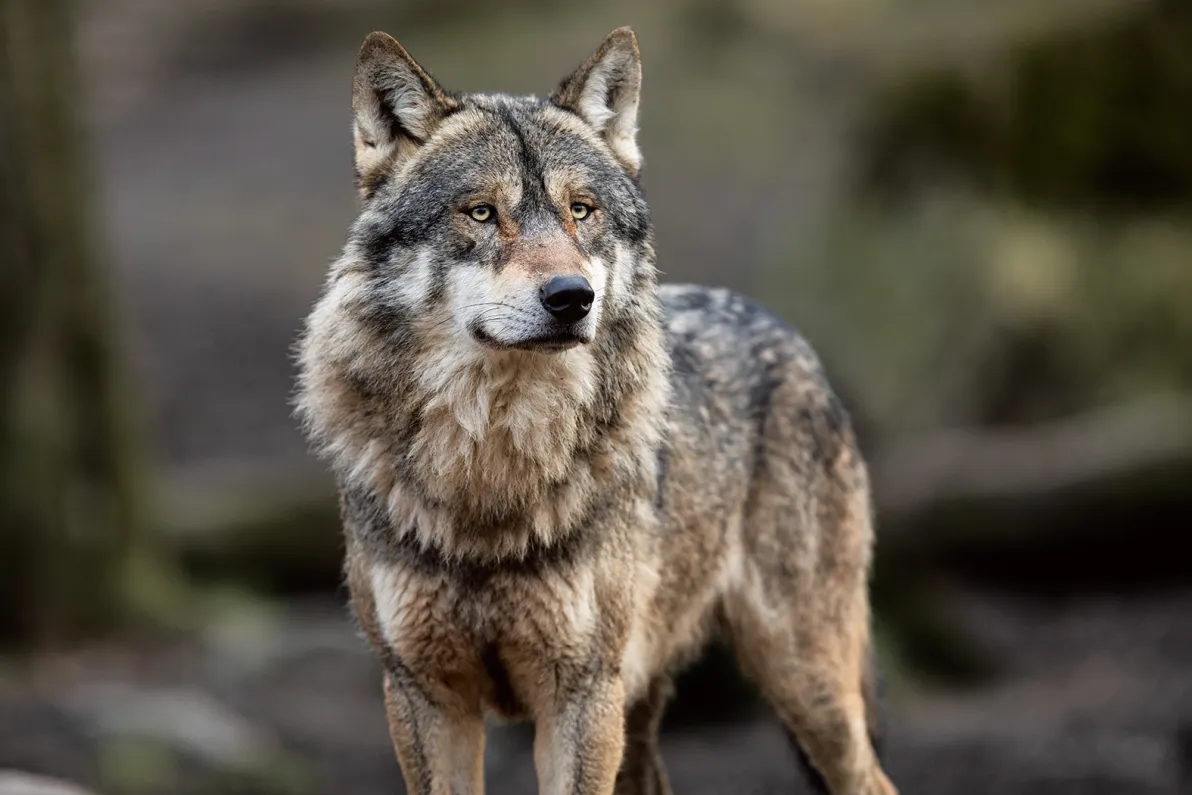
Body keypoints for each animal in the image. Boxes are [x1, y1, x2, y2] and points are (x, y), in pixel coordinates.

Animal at [295, 26, 897, 795]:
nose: (570, 296)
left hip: (803, 684)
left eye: (581, 210)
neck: (492, 470)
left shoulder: (579, 695)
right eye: (482, 212)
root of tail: (785, 331)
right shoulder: (422, 694)